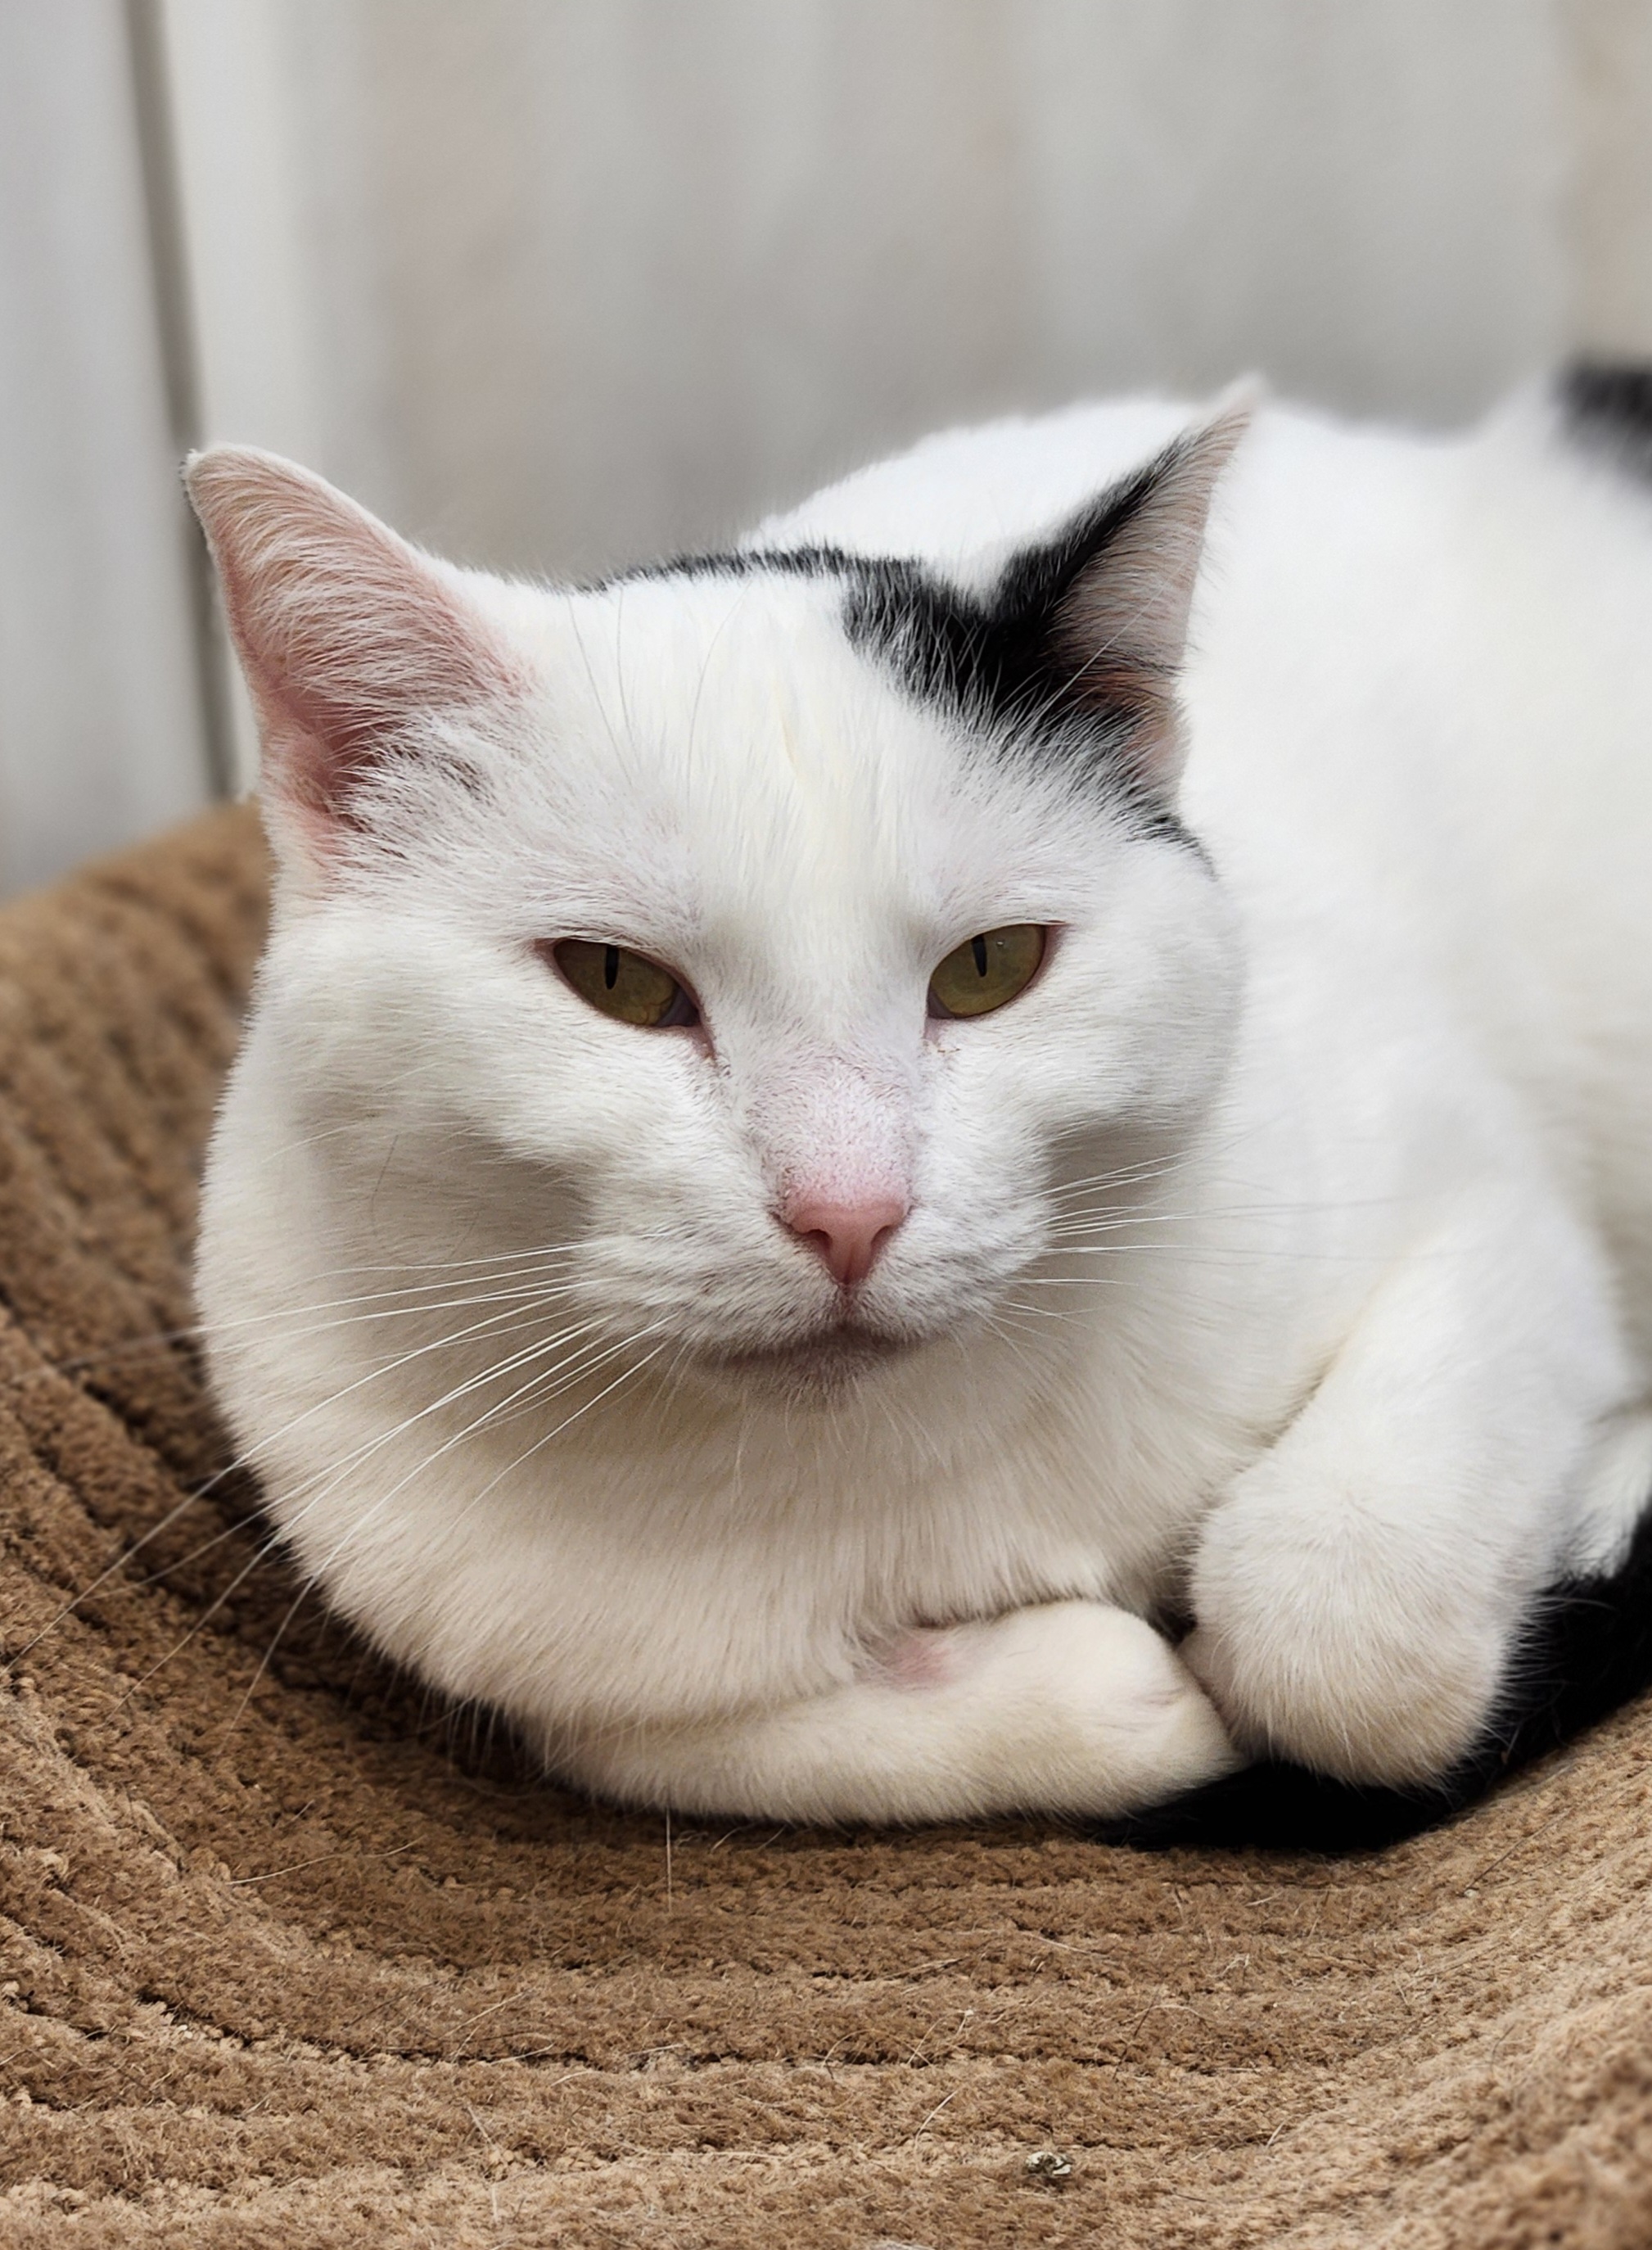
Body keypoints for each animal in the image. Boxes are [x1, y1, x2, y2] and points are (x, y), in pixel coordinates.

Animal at [187, 368, 1652, 1845]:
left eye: (990, 966)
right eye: (617, 981)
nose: (848, 1210)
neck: (896, 1468)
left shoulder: (1485, 1216)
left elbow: (1336, 1633)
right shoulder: (512, 1624)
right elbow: (660, 1738)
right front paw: (1090, 1685)